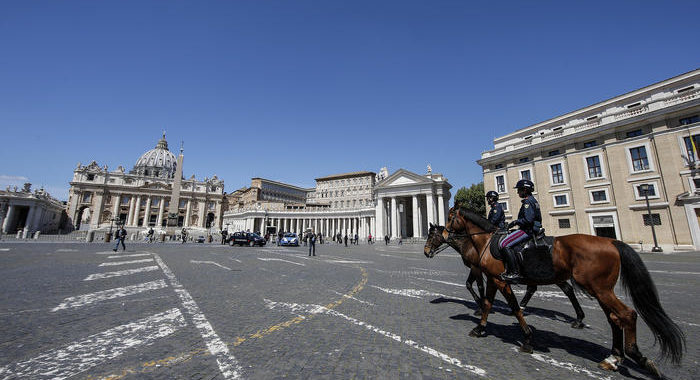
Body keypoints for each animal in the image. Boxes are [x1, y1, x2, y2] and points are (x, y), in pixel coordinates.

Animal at [426, 223, 584, 330]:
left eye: (431, 235)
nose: (426, 252)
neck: (470, 243)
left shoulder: (476, 268)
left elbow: (479, 286)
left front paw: (480, 307)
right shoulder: (476, 268)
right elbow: (469, 284)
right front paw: (481, 304)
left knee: (565, 289)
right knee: (546, 288)